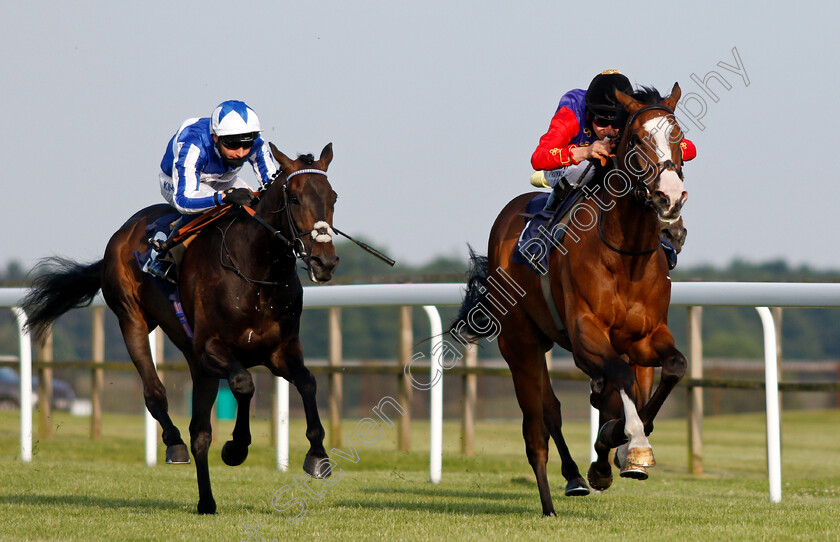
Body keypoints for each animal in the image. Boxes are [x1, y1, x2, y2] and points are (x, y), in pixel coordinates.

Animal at [23, 142, 338, 516]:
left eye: (333, 197)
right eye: (296, 199)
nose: (324, 261)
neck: (256, 272)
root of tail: (122, 233)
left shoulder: (279, 351)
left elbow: (307, 382)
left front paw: (317, 456)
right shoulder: (212, 348)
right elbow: (244, 384)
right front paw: (236, 447)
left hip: (197, 363)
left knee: (199, 432)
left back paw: (207, 501)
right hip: (132, 320)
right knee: (155, 392)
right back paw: (173, 444)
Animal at [456, 86, 684, 520]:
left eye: (680, 137)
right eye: (637, 140)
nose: (672, 197)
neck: (626, 256)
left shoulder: (646, 337)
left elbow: (672, 368)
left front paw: (625, 449)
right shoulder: (585, 334)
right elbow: (619, 379)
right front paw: (630, 442)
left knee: (567, 405)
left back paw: (585, 469)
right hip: (521, 345)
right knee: (539, 423)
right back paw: (556, 496)